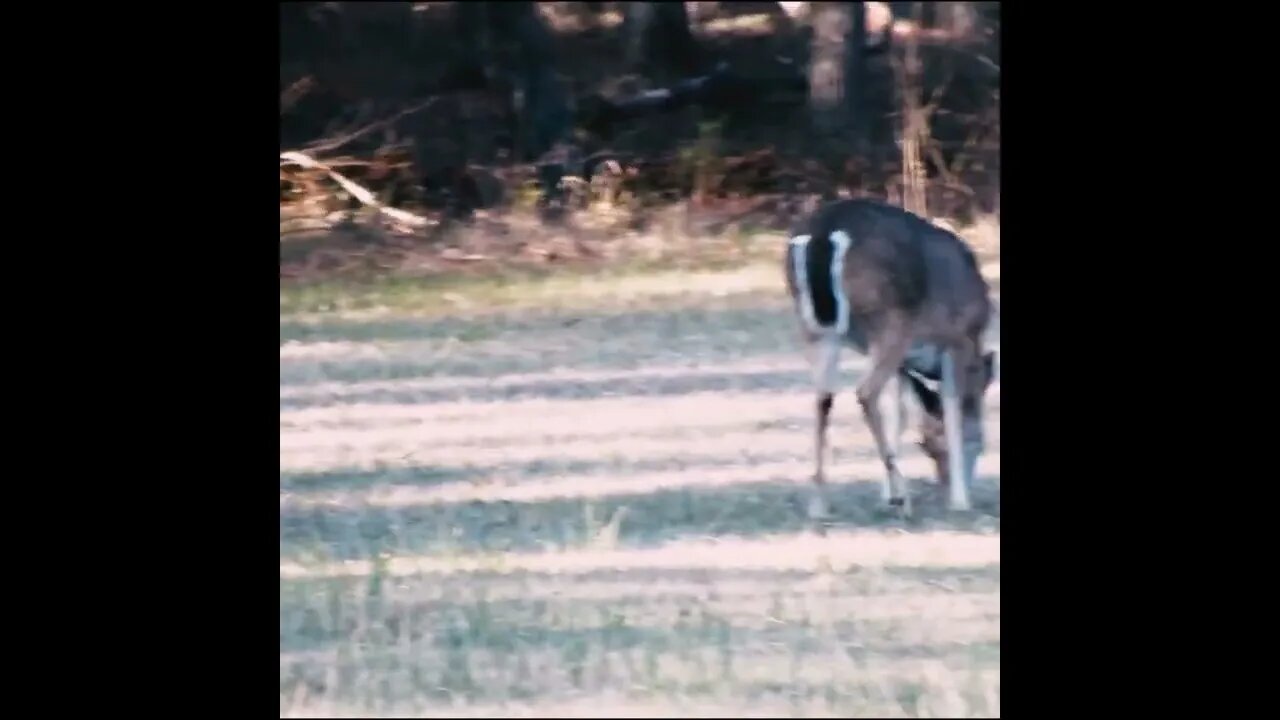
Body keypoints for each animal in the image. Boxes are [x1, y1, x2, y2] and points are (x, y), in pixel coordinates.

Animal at [778, 196, 998, 520]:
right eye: (928, 447)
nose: (944, 483)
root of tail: (822, 236)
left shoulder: (905, 363)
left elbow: (900, 413)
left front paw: (886, 493)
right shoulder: (957, 338)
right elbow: (952, 410)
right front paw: (960, 500)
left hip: (816, 328)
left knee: (823, 398)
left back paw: (819, 504)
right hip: (891, 320)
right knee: (865, 392)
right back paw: (903, 499)